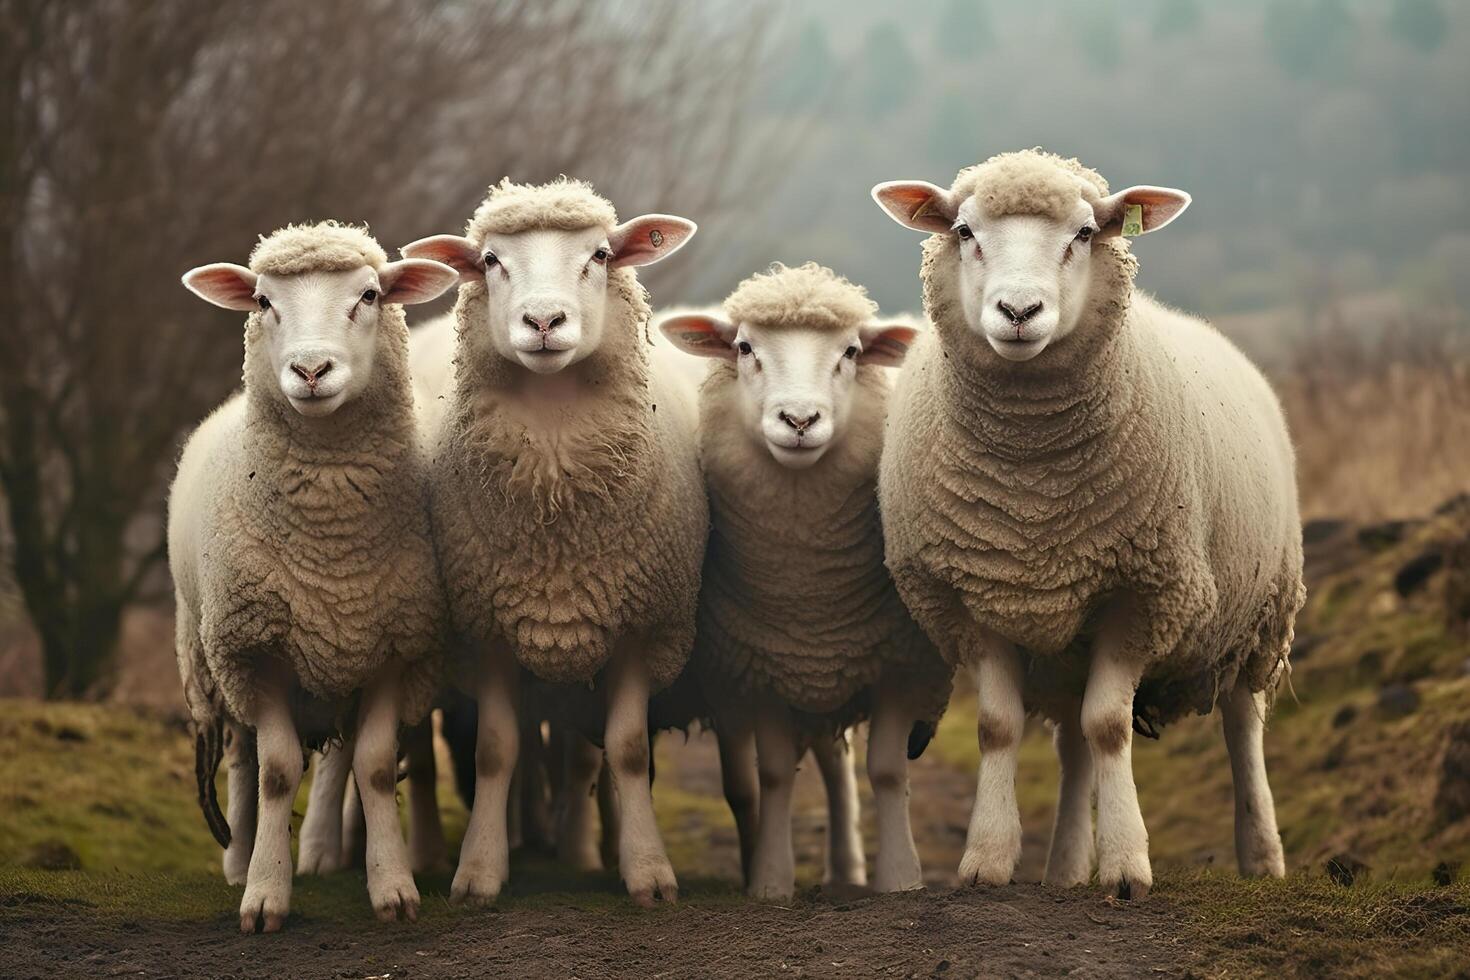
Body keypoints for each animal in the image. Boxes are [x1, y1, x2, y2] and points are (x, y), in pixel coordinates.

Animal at [172, 218, 458, 934]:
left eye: (369, 295)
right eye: (263, 301)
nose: (310, 370)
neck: (333, 550)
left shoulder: (398, 649)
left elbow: (376, 767)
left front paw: (393, 888)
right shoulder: (255, 653)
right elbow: (276, 771)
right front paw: (264, 895)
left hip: (333, 661)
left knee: (338, 757)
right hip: (213, 659)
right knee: (242, 761)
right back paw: (240, 859)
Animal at [396, 178, 705, 910]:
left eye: (600, 254)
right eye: (489, 261)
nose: (543, 322)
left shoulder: (637, 623)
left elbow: (626, 748)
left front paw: (646, 871)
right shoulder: (485, 628)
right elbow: (495, 750)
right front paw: (479, 871)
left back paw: (581, 845)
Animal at [658, 258, 952, 899]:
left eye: (851, 352)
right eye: (744, 347)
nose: (799, 419)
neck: (807, 590)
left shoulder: (902, 661)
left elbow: (886, 771)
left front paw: (901, 879)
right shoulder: (760, 667)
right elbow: (772, 776)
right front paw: (770, 881)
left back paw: (849, 868)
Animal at [864, 149, 1305, 899]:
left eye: (1084, 233)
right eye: (964, 231)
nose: (1018, 311)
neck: (1032, 490)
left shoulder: (1145, 593)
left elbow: (1108, 728)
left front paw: (1127, 865)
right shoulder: (971, 600)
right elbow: (998, 727)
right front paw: (987, 860)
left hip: (1256, 618)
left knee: (1243, 728)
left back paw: (1262, 856)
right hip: (1066, 640)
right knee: (1071, 747)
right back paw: (1067, 866)